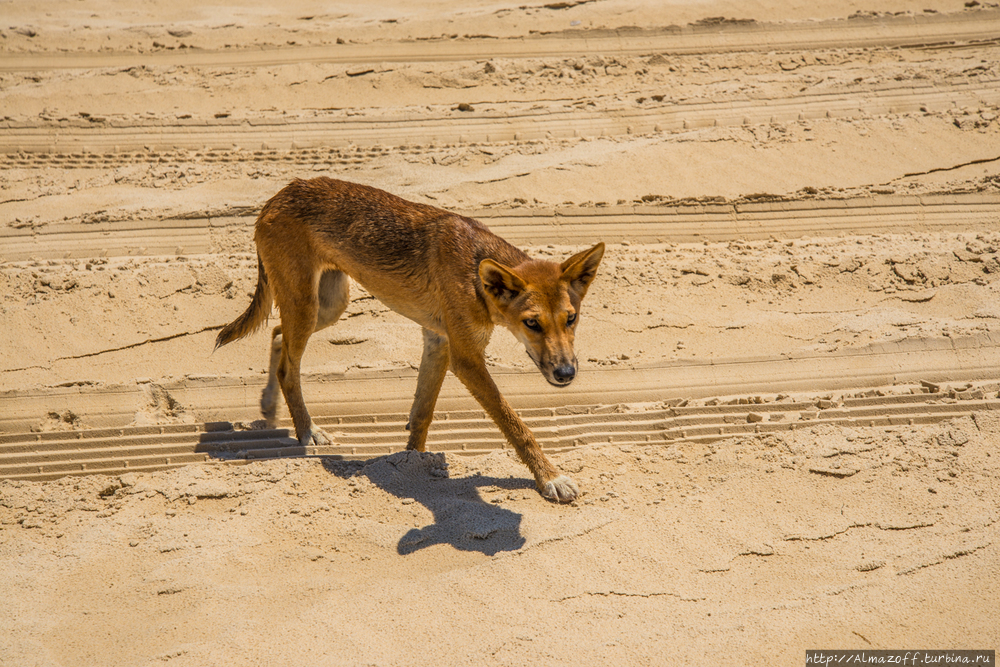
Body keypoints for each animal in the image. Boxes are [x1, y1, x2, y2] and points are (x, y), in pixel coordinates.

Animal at [216, 177, 604, 500]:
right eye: (532, 323)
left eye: (571, 318)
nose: (566, 374)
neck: (475, 273)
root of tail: (277, 196)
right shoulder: (467, 359)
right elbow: (515, 425)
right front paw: (550, 477)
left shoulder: (439, 342)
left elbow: (422, 414)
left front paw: (411, 462)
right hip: (307, 305)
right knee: (288, 367)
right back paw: (307, 431)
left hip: (328, 306)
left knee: (278, 337)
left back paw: (270, 405)